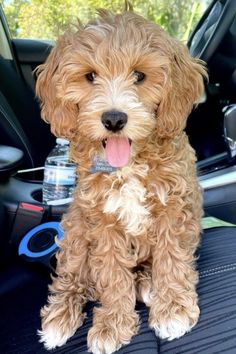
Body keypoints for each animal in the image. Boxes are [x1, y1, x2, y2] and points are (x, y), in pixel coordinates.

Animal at [36, 4, 206, 354]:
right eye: (90, 76)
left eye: (139, 76)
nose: (114, 119)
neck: (129, 165)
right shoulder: (102, 221)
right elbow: (112, 273)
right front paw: (112, 324)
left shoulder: (175, 208)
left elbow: (172, 258)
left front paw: (172, 308)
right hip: (75, 228)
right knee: (72, 278)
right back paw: (60, 316)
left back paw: (148, 285)